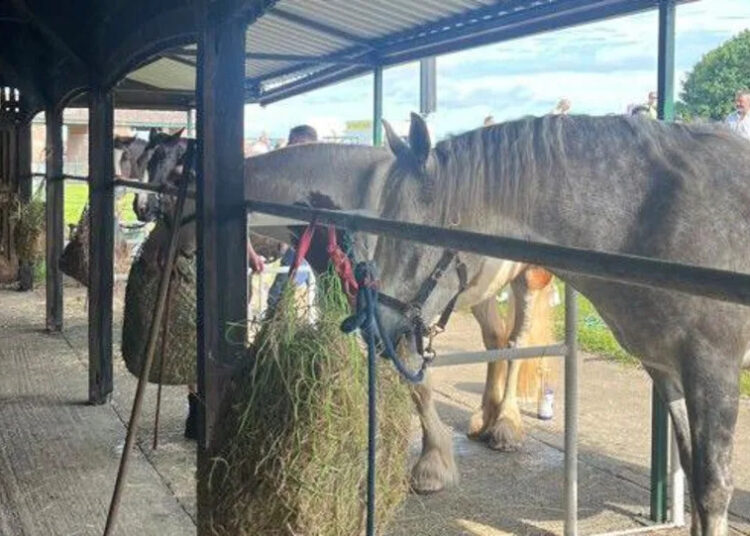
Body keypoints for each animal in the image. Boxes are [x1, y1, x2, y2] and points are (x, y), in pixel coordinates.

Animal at [143, 132, 561, 493]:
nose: (159, 252)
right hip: (477, 291)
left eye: (177, 182)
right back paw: (484, 417)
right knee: (496, 338)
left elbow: (417, 380)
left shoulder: (401, 312)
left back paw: (505, 425)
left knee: (517, 342)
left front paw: (432, 466)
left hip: (528, 279)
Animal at [327, 113, 749, 536]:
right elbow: (694, 475)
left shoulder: (712, 370)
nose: (375, 326)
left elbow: (712, 489)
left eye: (411, 232)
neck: (657, 218)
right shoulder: (667, 371)